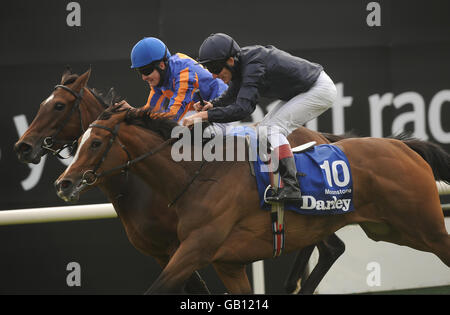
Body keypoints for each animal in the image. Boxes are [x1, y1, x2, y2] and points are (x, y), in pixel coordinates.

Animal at [14, 68, 344, 296]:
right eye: (44, 104)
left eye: (58, 106)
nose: (23, 147)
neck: (138, 185)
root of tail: (318, 135)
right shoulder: (163, 252)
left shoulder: (187, 246)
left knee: (331, 247)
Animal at [55, 105, 450, 296]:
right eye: (78, 142)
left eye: (95, 143)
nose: (63, 182)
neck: (198, 175)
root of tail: (403, 146)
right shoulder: (227, 264)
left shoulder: (194, 249)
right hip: (387, 229)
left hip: (425, 227)